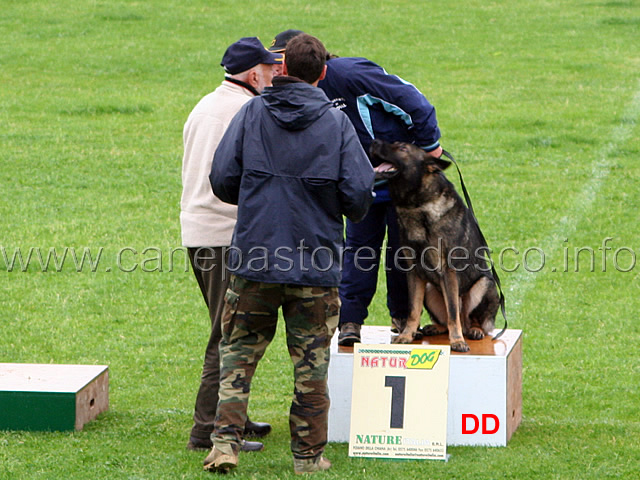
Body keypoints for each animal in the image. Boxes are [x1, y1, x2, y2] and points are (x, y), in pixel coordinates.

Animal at [370, 139, 500, 352]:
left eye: (402, 148)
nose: (373, 142)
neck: (416, 205)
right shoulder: (414, 272)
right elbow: (413, 310)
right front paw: (407, 335)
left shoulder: (448, 272)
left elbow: (453, 312)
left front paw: (457, 341)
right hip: (430, 289)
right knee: (446, 321)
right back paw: (436, 328)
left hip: (484, 284)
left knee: (468, 319)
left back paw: (473, 331)